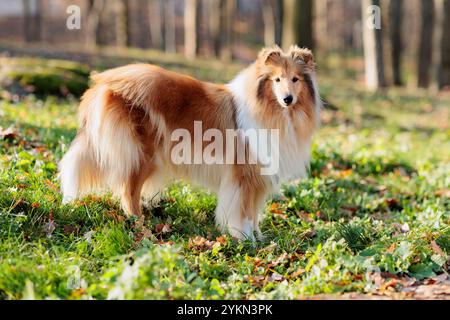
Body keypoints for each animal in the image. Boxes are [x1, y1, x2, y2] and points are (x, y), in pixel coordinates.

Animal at [59, 45, 320, 240]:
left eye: (295, 79)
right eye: (277, 80)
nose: (287, 99)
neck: (272, 111)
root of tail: (103, 81)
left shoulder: (258, 178)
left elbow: (254, 213)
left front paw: (258, 237)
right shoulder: (243, 177)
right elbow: (243, 213)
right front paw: (245, 240)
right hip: (141, 154)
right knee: (128, 192)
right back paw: (141, 225)